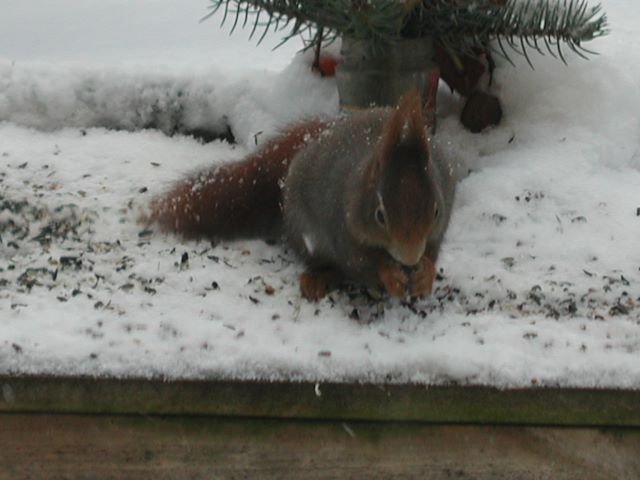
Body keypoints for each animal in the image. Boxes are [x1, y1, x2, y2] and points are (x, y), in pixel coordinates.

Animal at [150, 90, 452, 300]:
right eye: (380, 215)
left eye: (436, 210)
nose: (409, 258)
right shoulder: (341, 228)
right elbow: (362, 261)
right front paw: (390, 276)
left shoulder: (437, 230)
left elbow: (433, 251)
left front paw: (425, 274)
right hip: (304, 233)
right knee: (329, 265)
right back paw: (317, 279)